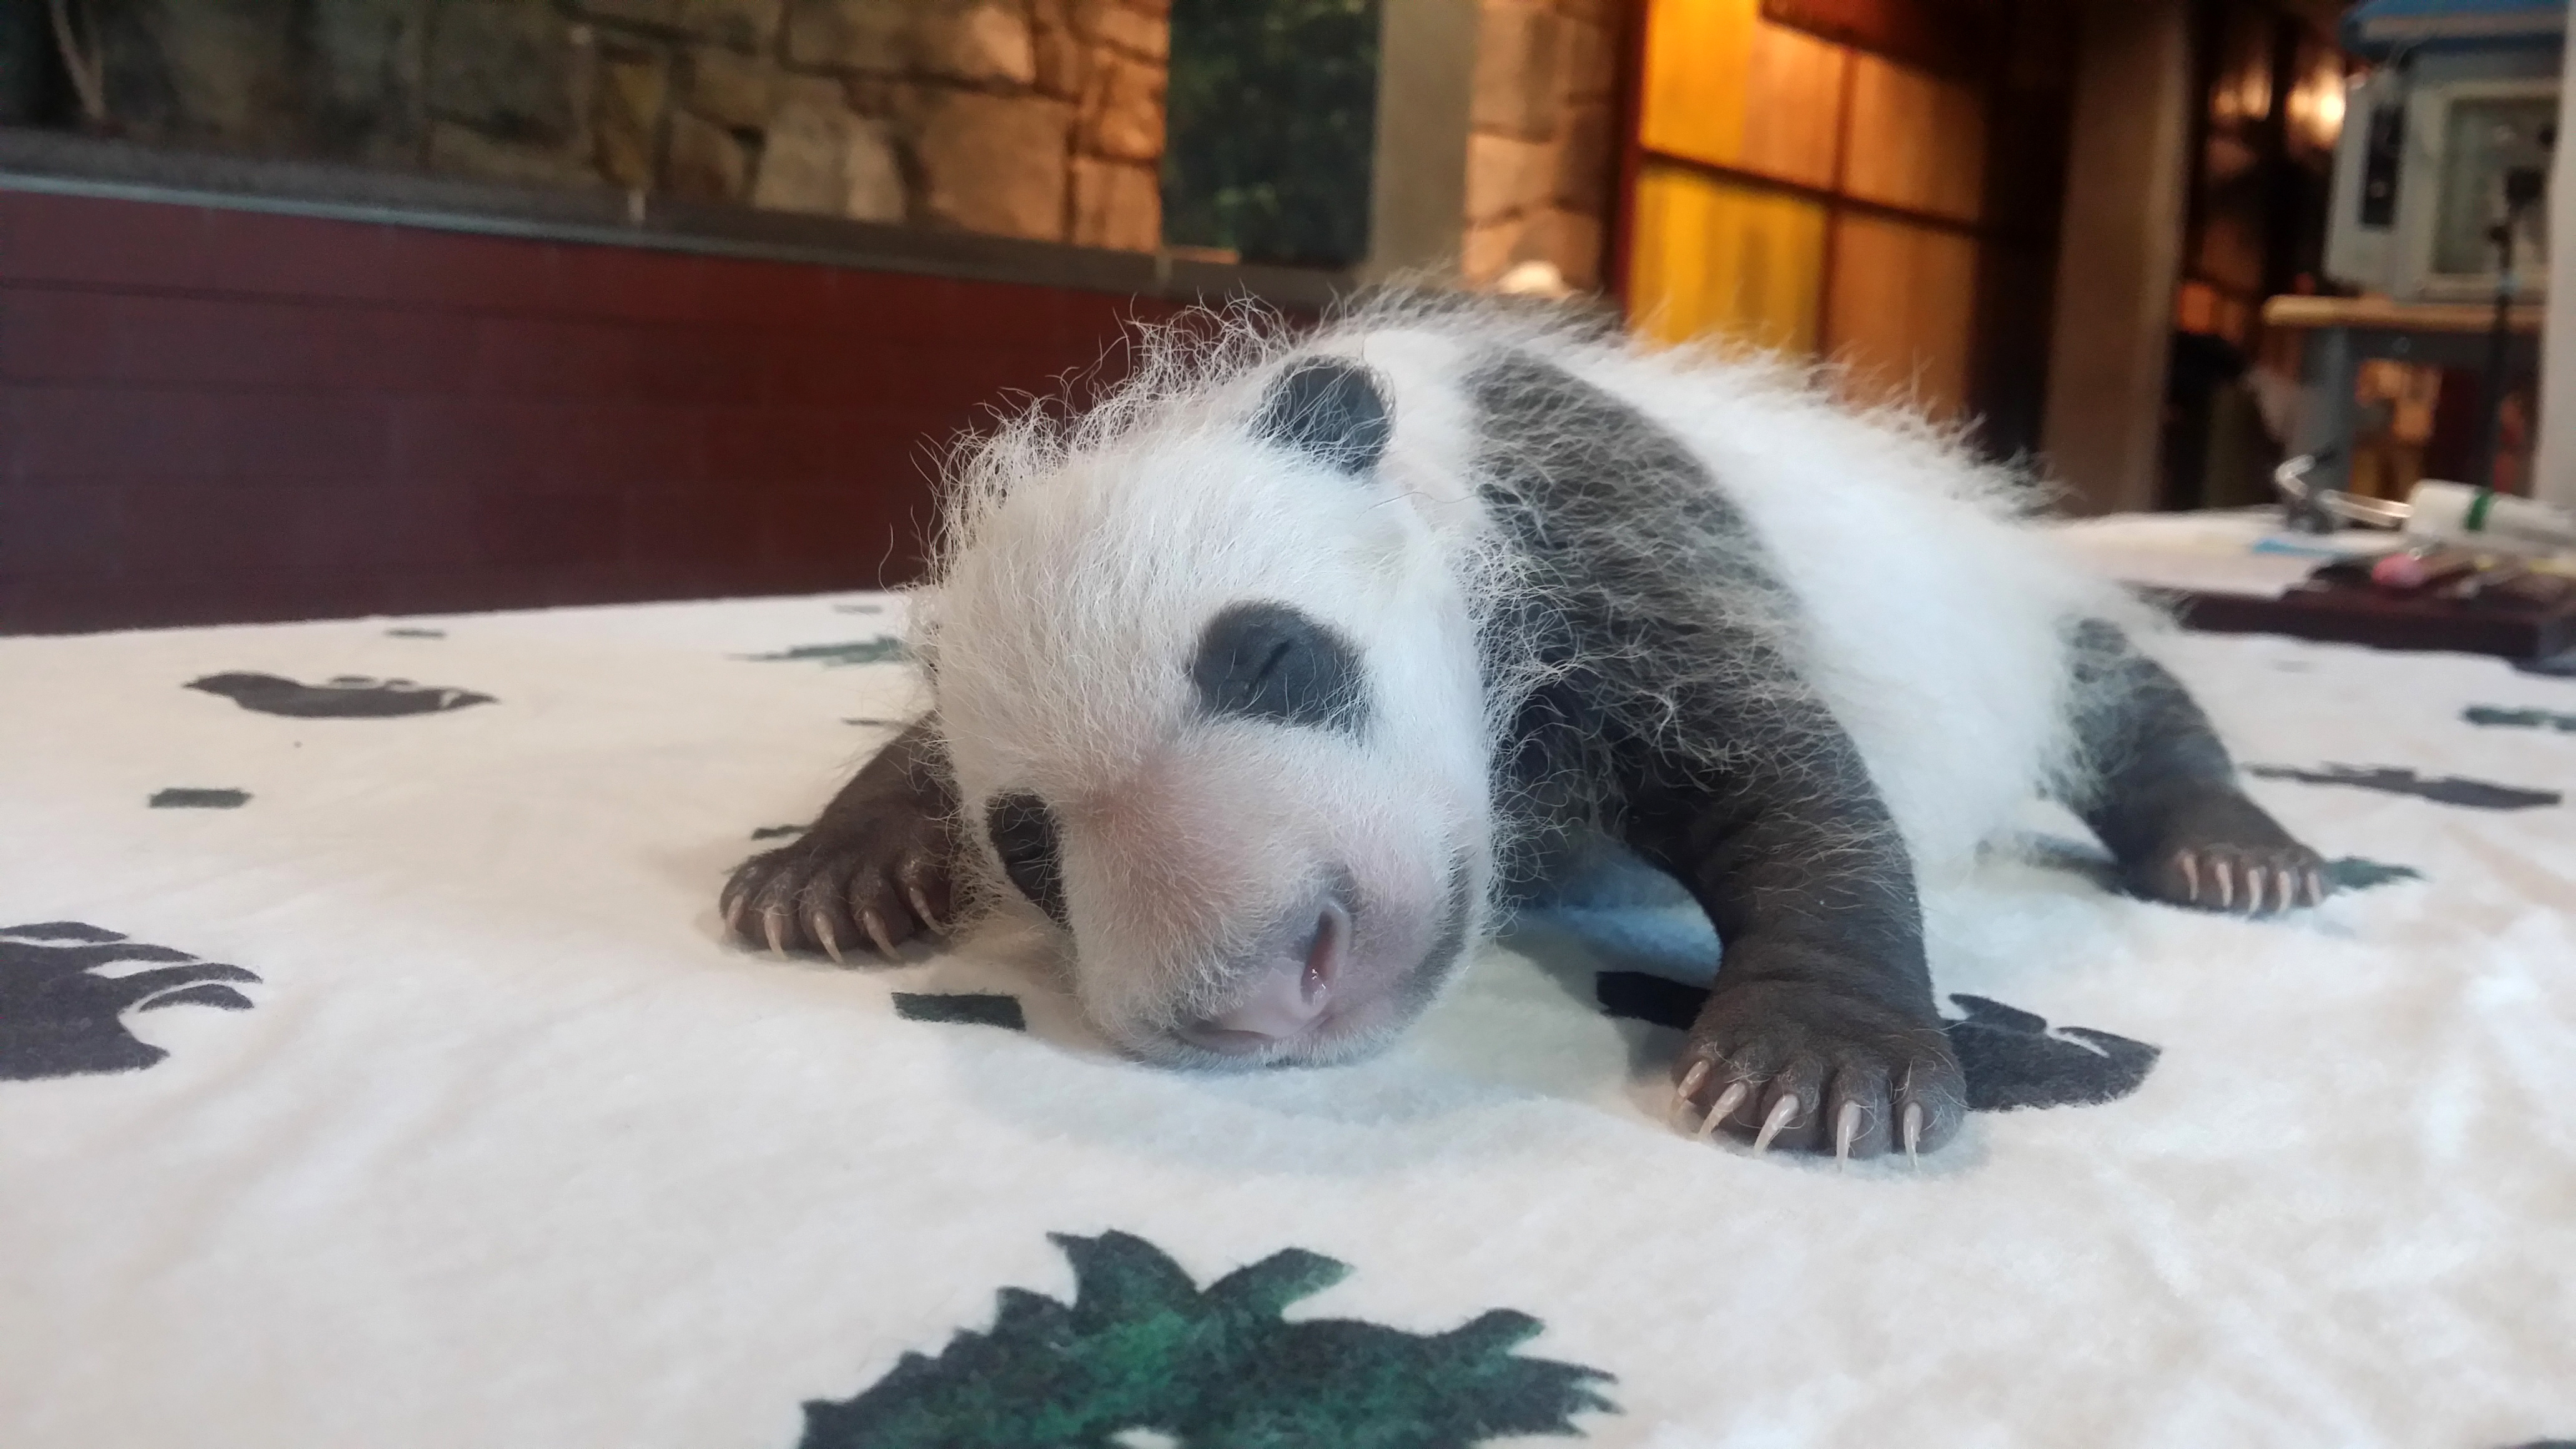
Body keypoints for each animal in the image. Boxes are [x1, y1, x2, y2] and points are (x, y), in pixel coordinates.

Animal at [720, 290, 2328, 1164]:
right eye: (1031, 849)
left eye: (1273, 656)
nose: (1267, 978)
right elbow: (918, 746)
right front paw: (827, 874)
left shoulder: (1595, 529)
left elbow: (1785, 774)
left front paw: (1818, 1064)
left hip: (2002, 606)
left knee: (2120, 689)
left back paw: (2232, 850)